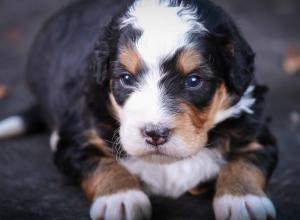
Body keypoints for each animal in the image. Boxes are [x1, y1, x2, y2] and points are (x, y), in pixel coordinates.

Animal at [0, 0, 278, 220]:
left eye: (194, 80)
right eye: (126, 78)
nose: (155, 133)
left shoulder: (256, 133)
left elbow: (246, 160)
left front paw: (243, 200)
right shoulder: (78, 140)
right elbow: (101, 162)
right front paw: (121, 198)